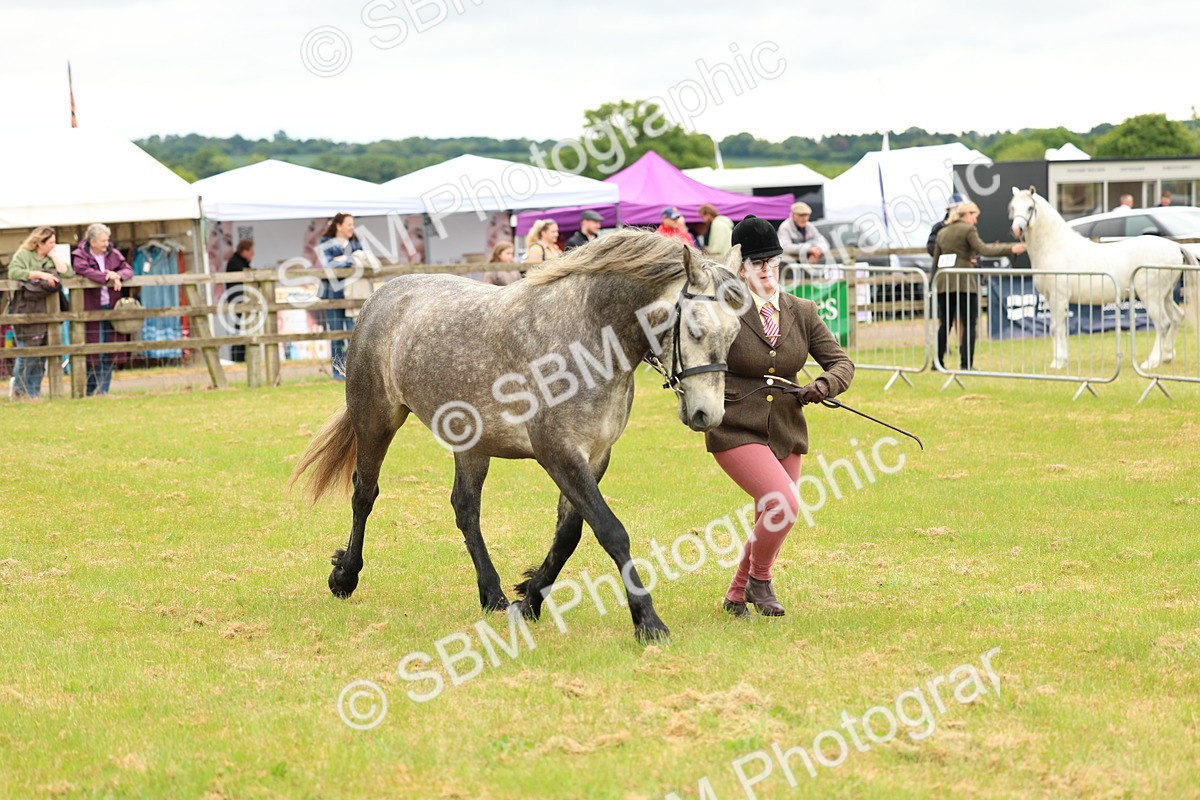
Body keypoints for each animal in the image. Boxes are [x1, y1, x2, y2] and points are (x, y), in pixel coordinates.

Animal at [290, 230, 749, 643]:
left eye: (733, 334)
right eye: (695, 330)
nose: (708, 414)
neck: (584, 337)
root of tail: (379, 297)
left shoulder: (596, 456)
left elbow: (568, 535)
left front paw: (528, 601)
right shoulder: (558, 453)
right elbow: (610, 530)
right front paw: (648, 622)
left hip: (470, 443)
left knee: (465, 509)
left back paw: (491, 594)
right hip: (375, 420)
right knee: (364, 494)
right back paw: (345, 576)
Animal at [1008, 187, 1195, 371]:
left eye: (1030, 208)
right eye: (1013, 207)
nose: (1017, 229)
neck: (1054, 247)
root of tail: (1175, 246)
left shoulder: (1058, 298)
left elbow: (1055, 328)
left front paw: (1057, 362)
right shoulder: (1052, 299)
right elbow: (1061, 329)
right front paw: (1063, 360)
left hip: (1151, 296)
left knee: (1163, 324)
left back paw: (1151, 362)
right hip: (1165, 295)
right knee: (1177, 318)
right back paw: (1167, 356)